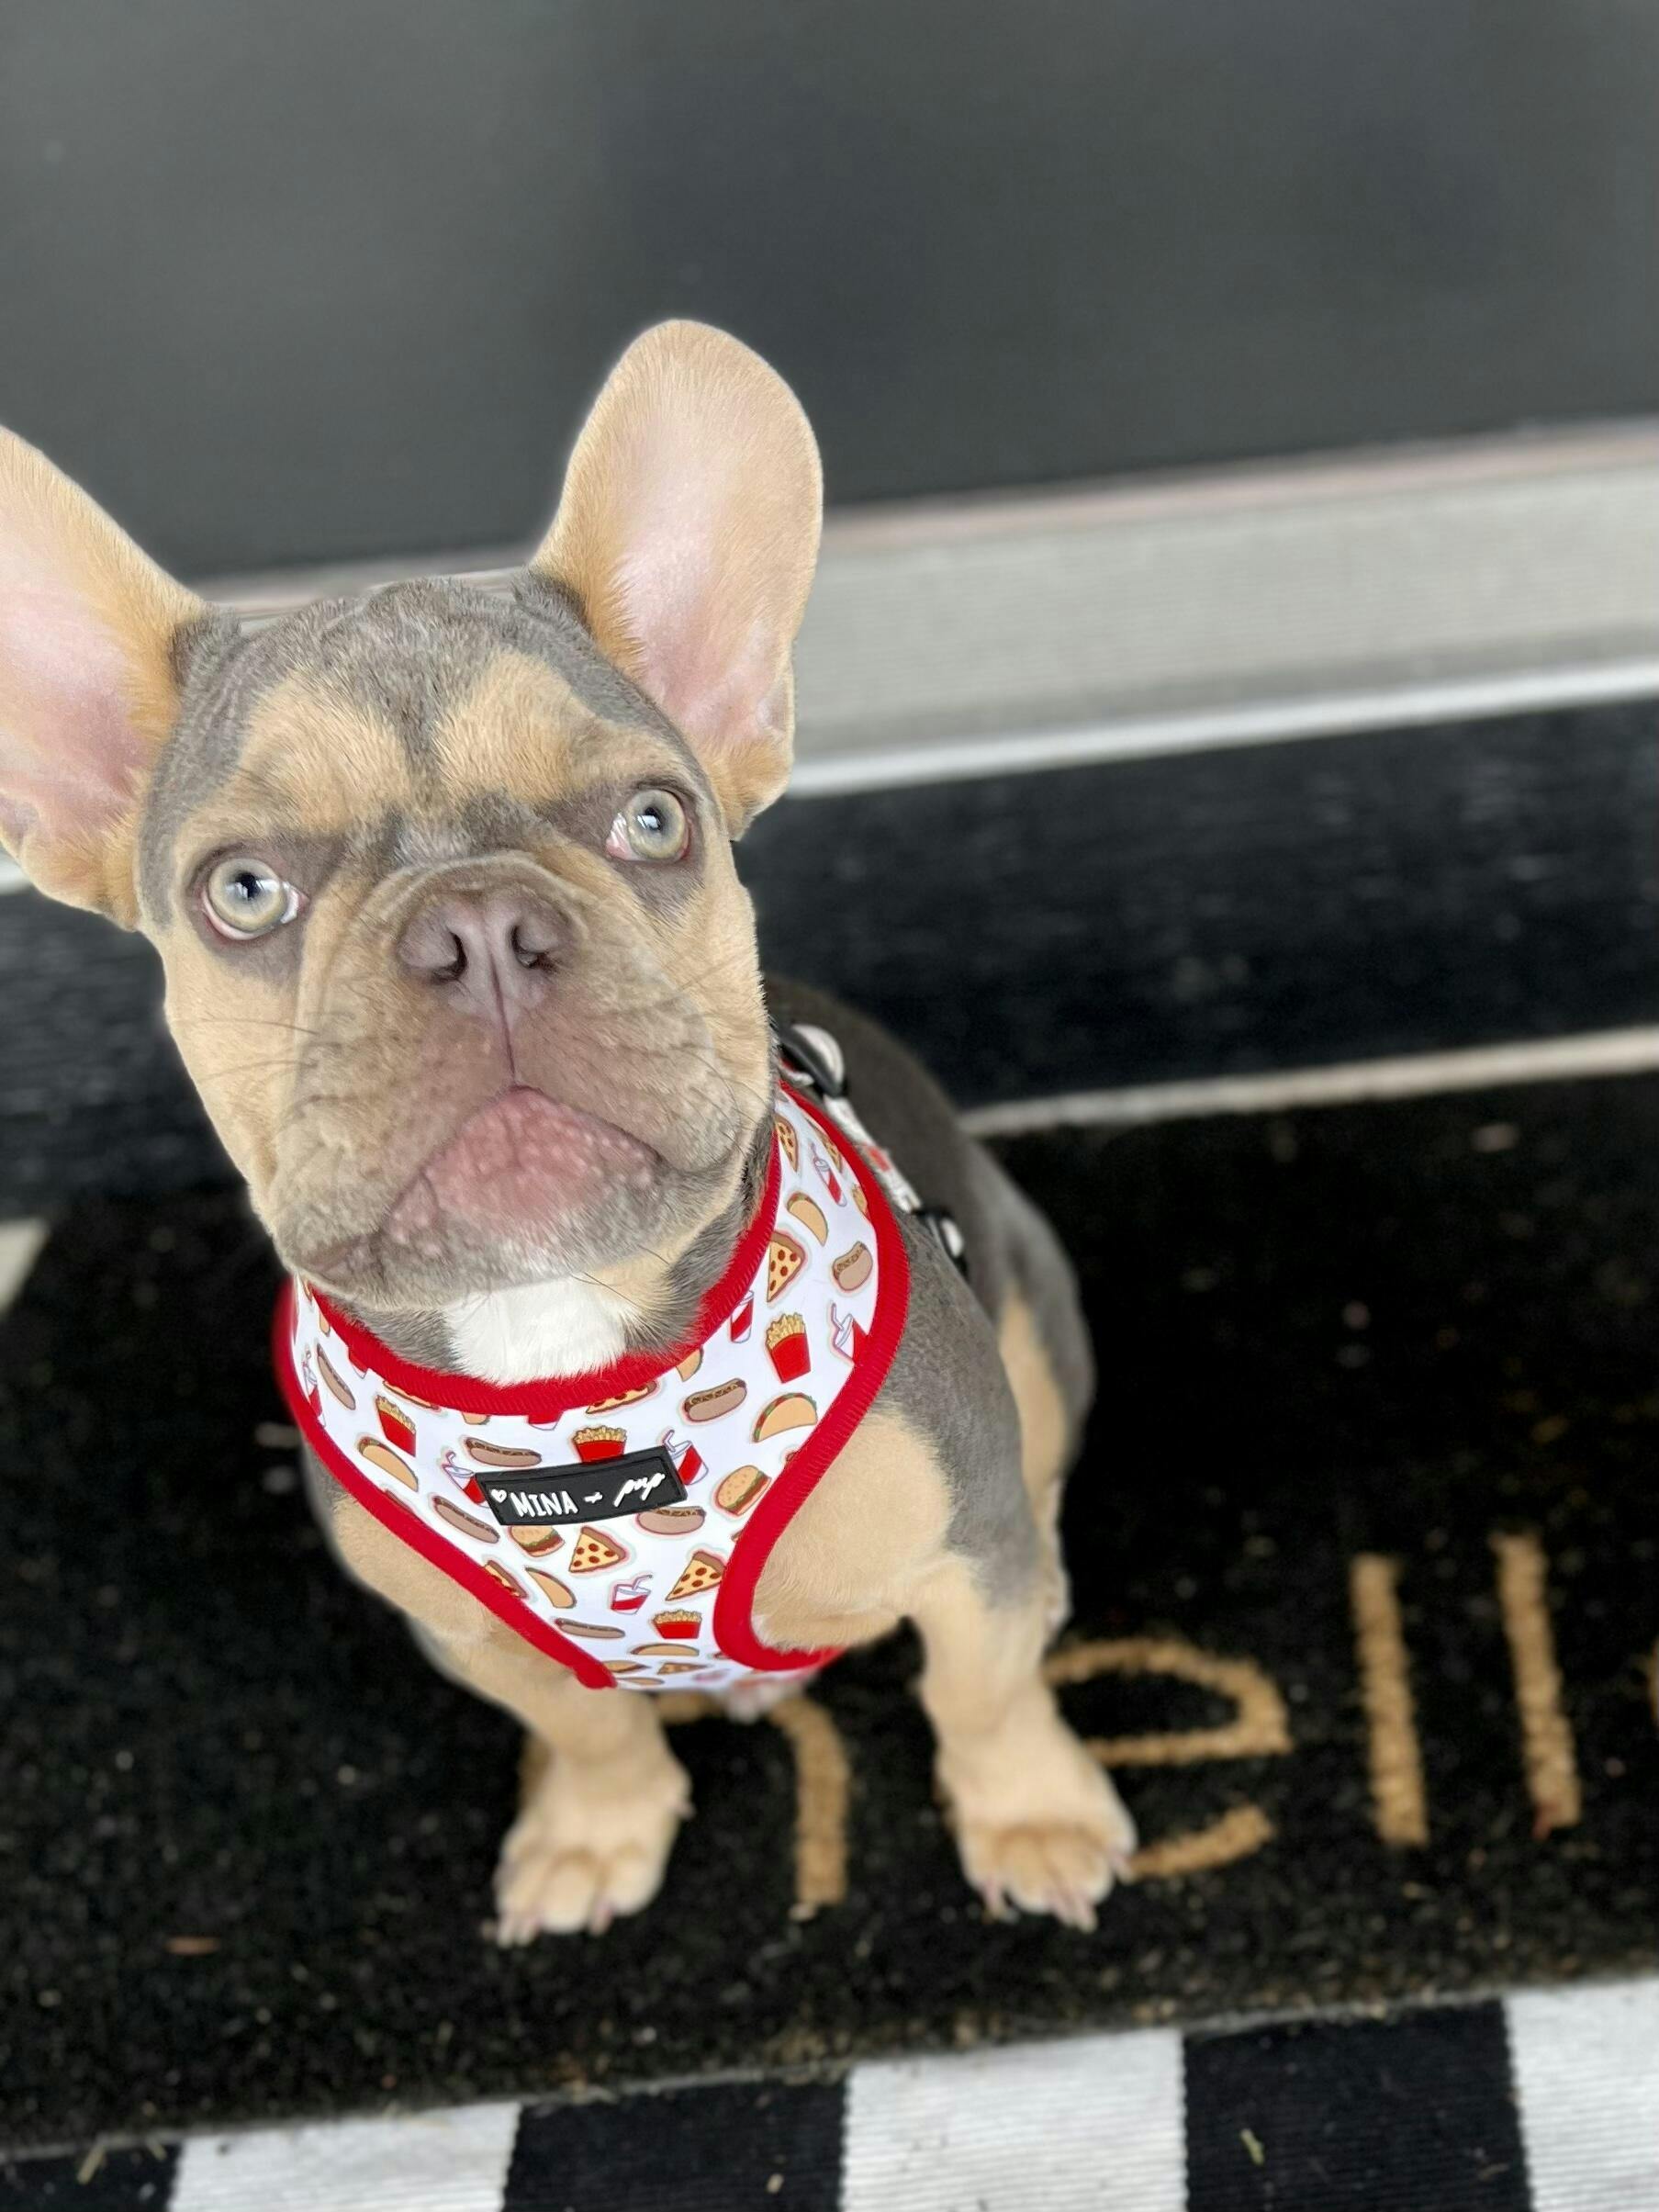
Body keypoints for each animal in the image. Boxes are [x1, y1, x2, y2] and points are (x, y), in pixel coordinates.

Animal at [0, 321, 1134, 1938]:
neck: (560, 1345)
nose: (478, 924)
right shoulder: (465, 1640)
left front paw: (1028, 1811)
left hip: (1034, 1309)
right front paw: (595, 1827)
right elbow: (581, 1724)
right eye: (243, 893)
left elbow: (978, 1693)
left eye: (653, 820)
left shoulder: (960, 1549)